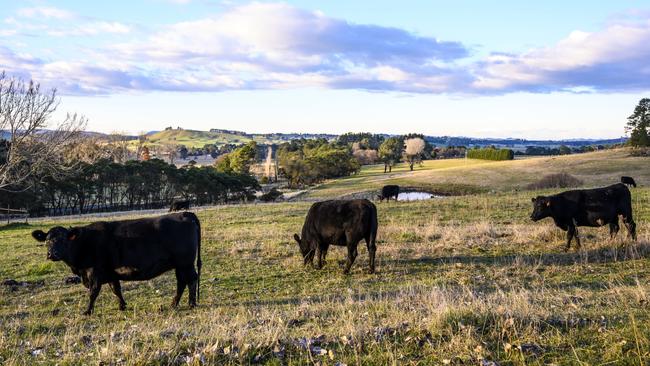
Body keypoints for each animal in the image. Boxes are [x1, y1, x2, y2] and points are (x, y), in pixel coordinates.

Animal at [30, 212, 201, 314]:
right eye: (47, 240)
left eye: (64, 240)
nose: (52, 254)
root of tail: (184, 214)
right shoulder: (111, 273)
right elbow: (116, 289)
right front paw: (122, 306)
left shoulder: (94, 272)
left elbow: (93, 292)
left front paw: (88, 311)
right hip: (180, 265)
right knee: (182, 282)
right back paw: (174, 304)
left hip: (185, 263)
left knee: (191, 280)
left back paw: (191, 304)